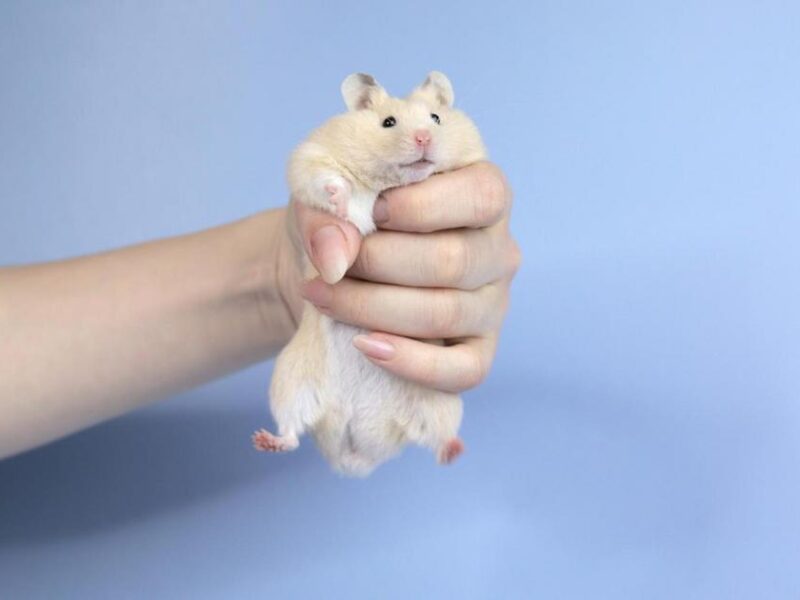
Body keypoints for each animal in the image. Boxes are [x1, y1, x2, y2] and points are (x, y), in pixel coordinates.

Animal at [252, 71, 487, 477]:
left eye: (436, 118)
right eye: (388, 122)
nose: (424, 138)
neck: (389, 182)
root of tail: (353, 455)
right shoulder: (310, 157)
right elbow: (328, 184)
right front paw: (339, 195)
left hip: (439, 401)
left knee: (434, 438)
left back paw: (455, 452)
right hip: (290, 382)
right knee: (293, 430)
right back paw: (264, 441)